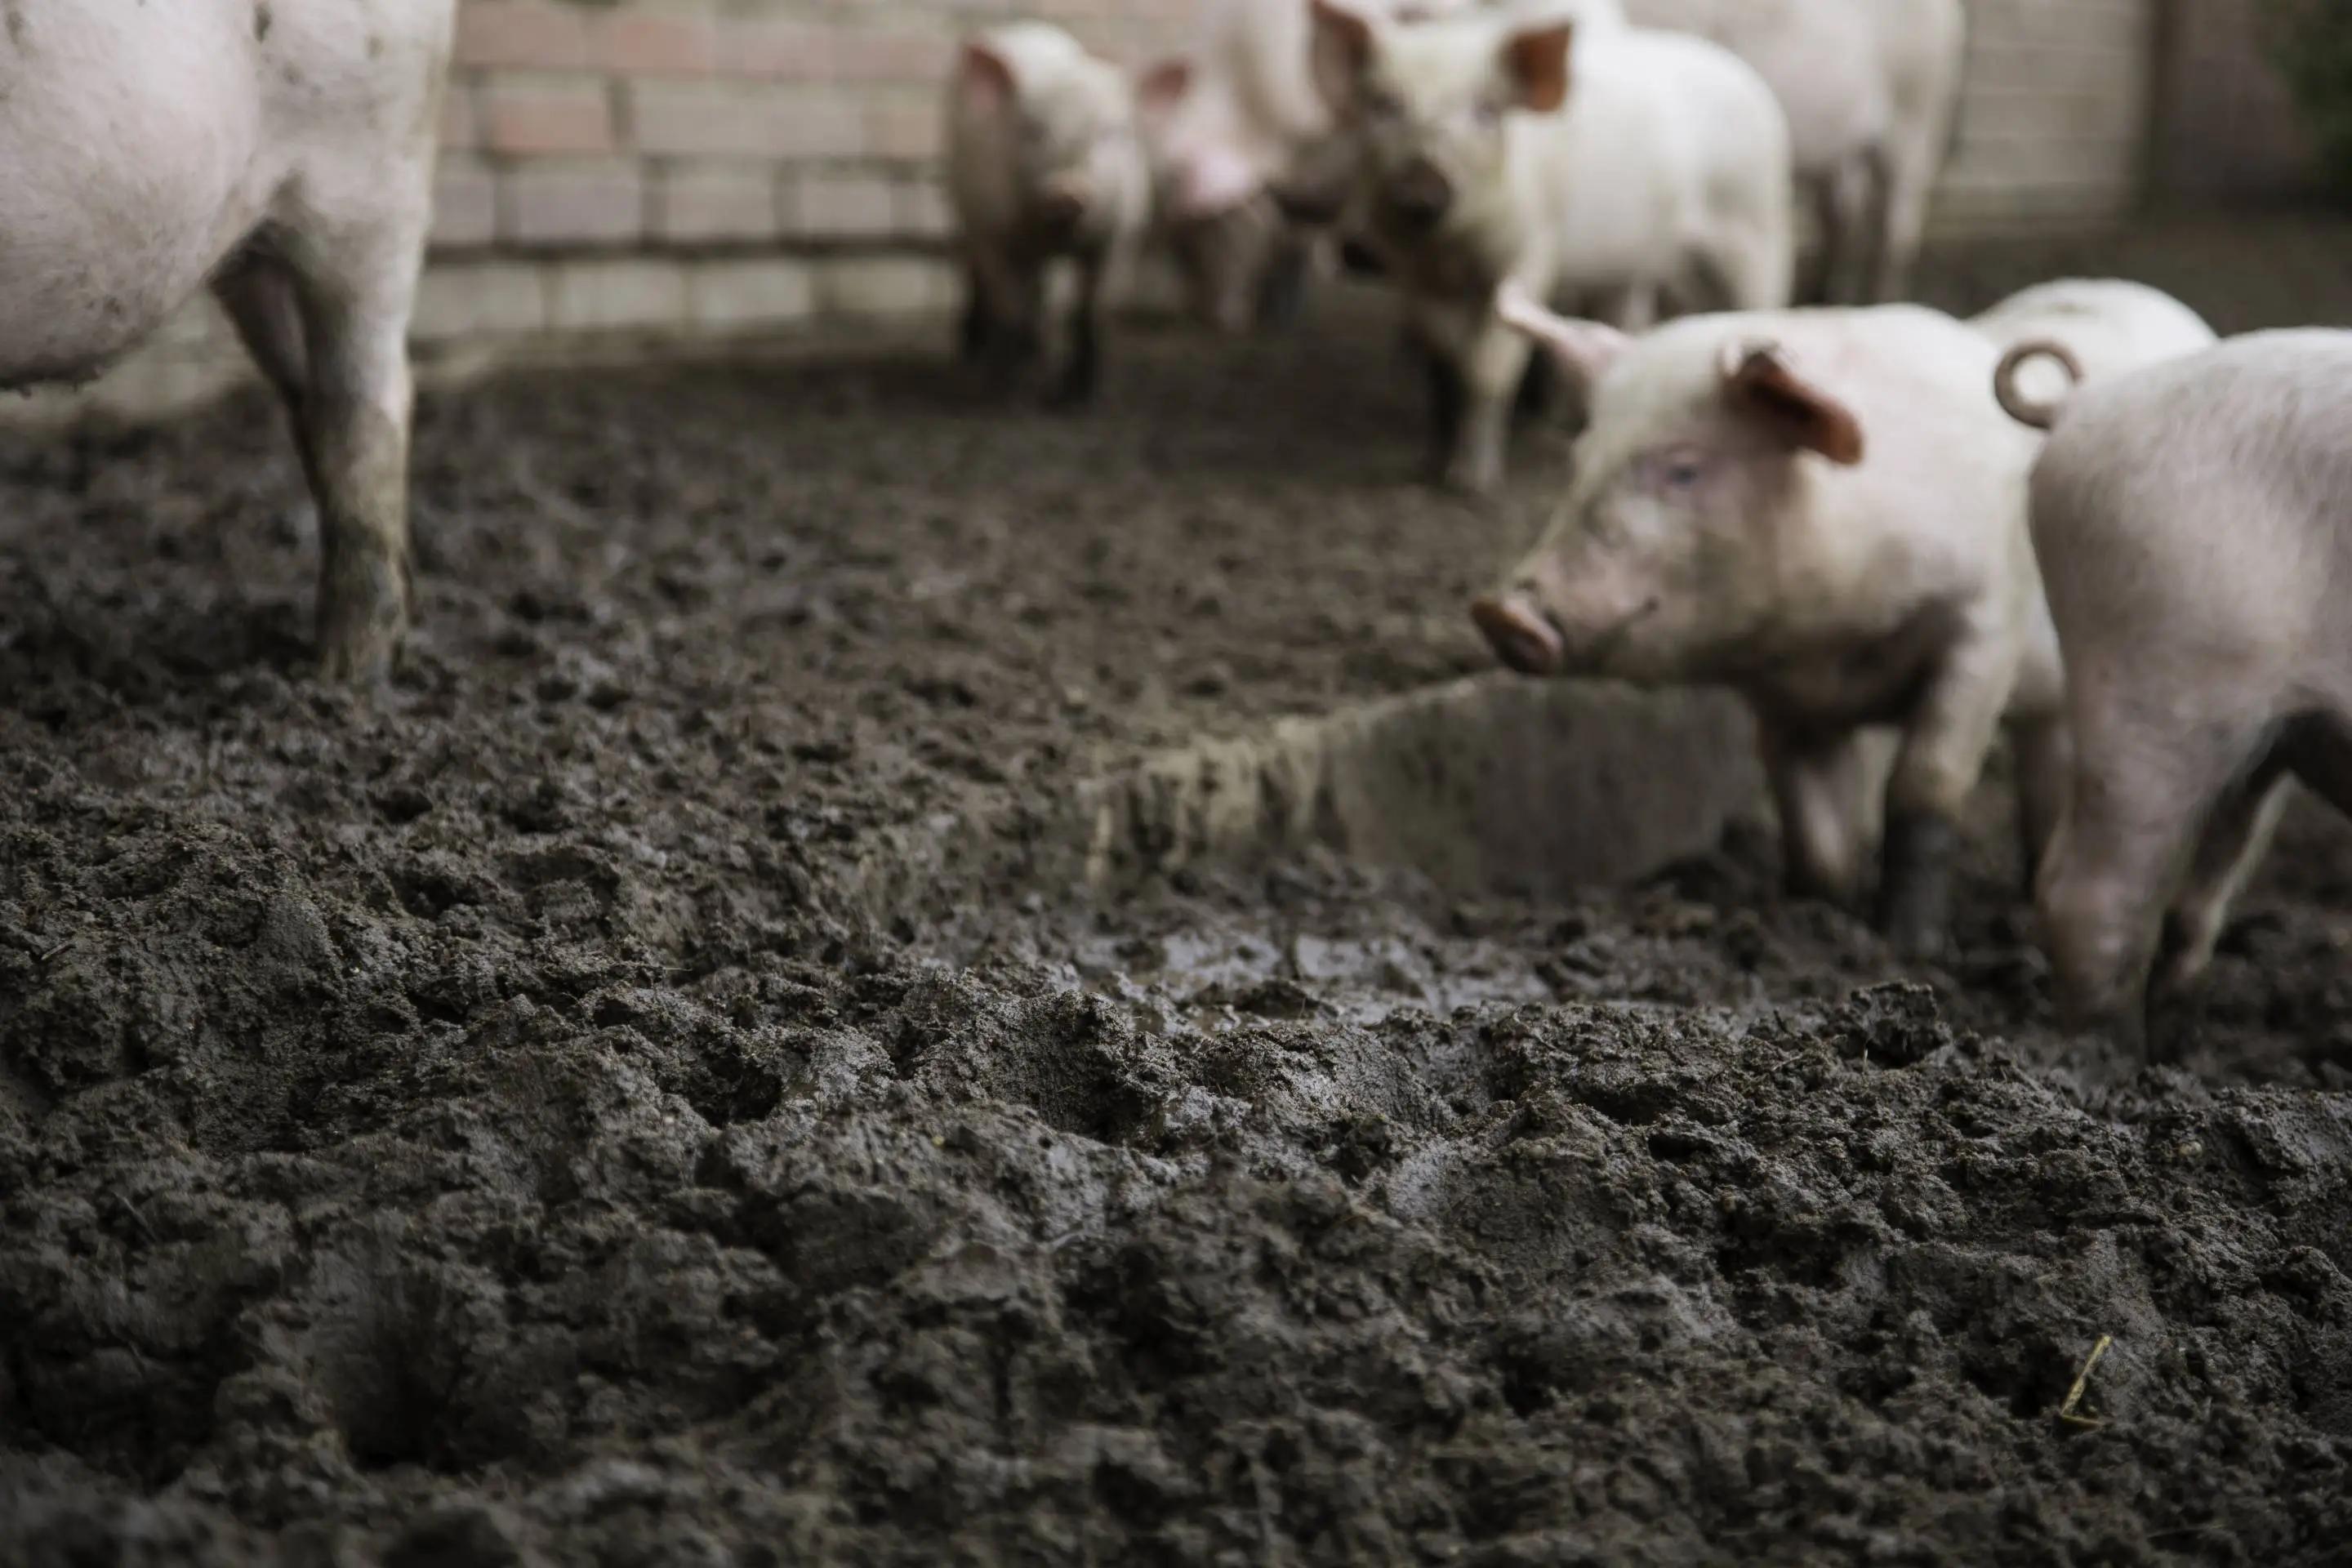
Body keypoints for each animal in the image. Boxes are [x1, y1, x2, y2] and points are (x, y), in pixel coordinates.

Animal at [947, 24, 1153, 407]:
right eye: (1032, 130)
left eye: (1110, 133)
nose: (1067, 191)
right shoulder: (991, 231)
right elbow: (1009, 310)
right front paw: (1007, 396)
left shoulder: (1121, 235)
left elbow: (1091, 312)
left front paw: (1084, 399)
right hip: (963, 207)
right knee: (978, 274)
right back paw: (974, 359)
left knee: (1043, 293)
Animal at [1308, 2, 1797, 495]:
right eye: (1384, 104)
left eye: (1486, 109)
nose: (1422, 190)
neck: (1453, 252)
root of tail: (1745, 75)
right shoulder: (1415, 275)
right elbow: (1449, 358)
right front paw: (1433, 466)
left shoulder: (1530, 251)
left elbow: (1489, 368)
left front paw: (1473, 483)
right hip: (1632, 265)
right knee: (1627, 320)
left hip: (1756, 223)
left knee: (1762, 301)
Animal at [1999, 330, 2352, 1055]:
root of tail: (2080, 405)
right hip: (2159, 671)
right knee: (2088, 897)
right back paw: (2106, 1063)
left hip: (2265, 733)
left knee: (2197, 894)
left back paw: (2177, 1050)